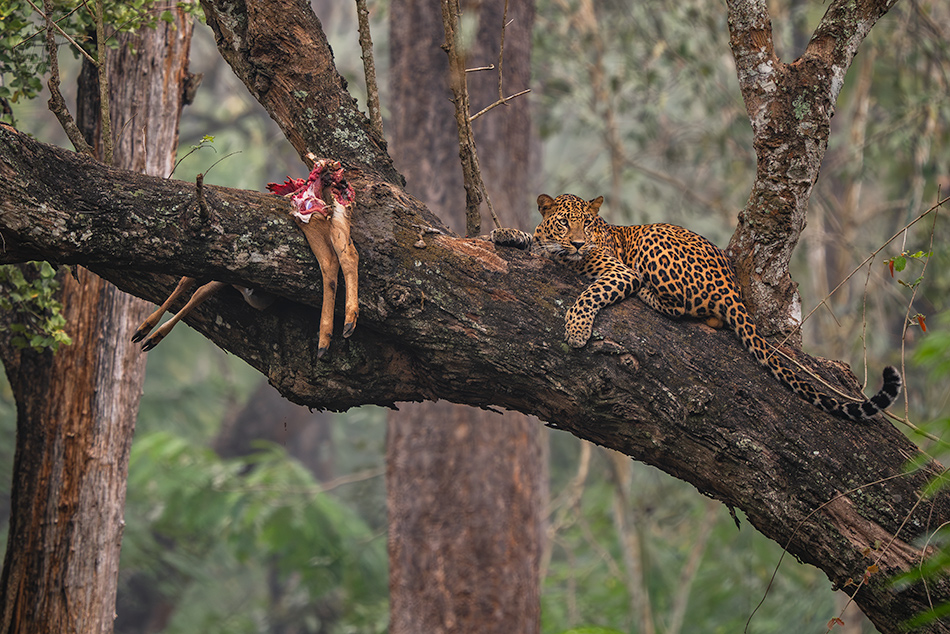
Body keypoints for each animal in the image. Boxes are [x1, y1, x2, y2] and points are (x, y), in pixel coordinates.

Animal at [494, 193, 904, 420]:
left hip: (654, 240)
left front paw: (577, 332)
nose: (579, 243)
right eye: (564, 224)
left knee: (688, 309)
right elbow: (532, 239)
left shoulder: (618, 270)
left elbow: (588, 295)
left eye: (590, 226)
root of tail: (733, 285)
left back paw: (648, 295)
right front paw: (504, 233)